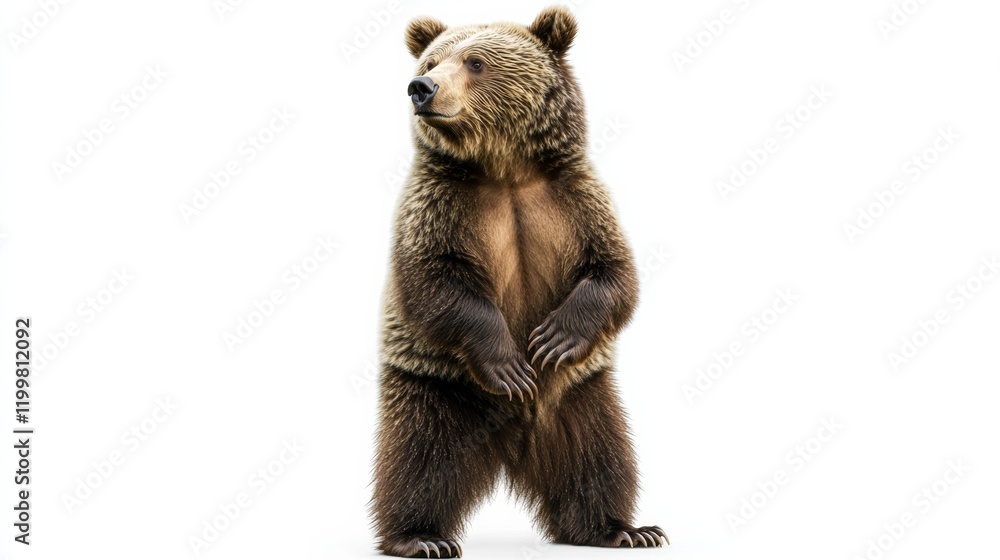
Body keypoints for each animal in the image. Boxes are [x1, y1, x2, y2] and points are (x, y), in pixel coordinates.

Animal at [371, 7, 665, 558]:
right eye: (431, 60)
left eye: (476, 61)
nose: (421, 87)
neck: (505, 169)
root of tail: (516, 442)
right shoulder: (436, 206)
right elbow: (433, 281)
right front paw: (509, 364)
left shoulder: (577, 200)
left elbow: (614, 273)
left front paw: (554, 337)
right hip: (438, 387)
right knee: (418, 458)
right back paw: (420, 536)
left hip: (583, 397)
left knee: (601, 458)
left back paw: (622, 529)